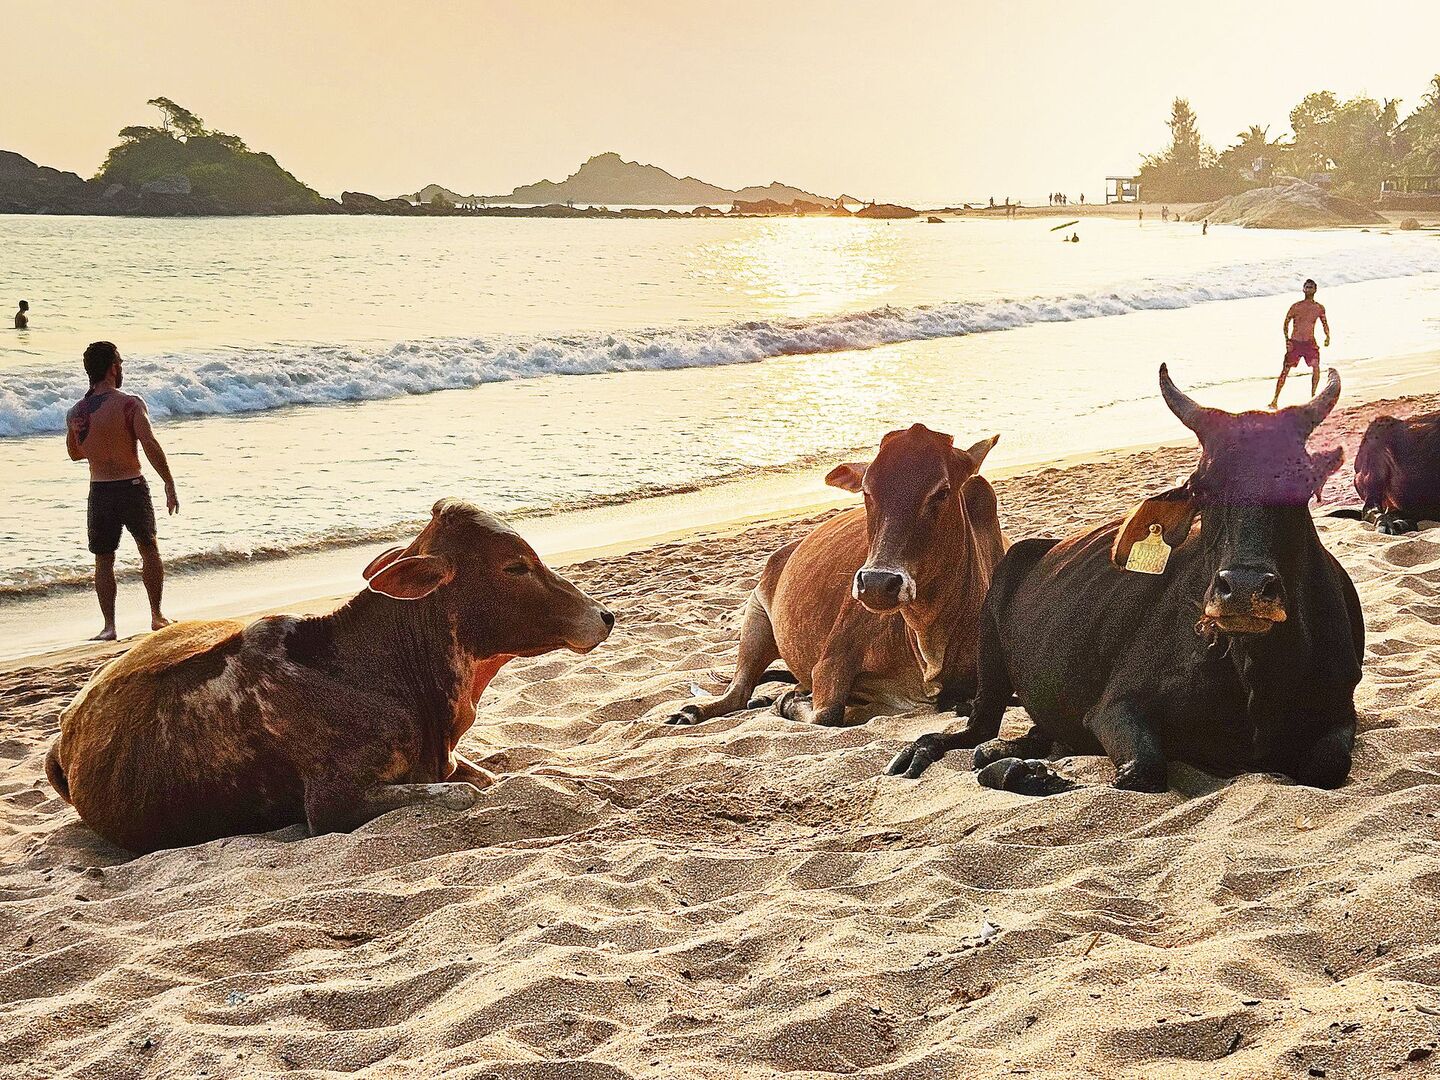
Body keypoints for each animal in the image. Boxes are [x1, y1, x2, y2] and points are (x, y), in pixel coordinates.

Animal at [44, 499, 615, 854]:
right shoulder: (332, 804)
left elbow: (489, 779)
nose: (605, 615)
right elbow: (461, 794)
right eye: (515, 566)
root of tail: (65, 731)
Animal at [668, 423, 1007, 728]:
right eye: (867, 492)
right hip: (756, 617)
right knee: (737, 693)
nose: (877, 584)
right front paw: (787, 702)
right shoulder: (830, 663)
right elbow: (827, 714)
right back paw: (696, 711)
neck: (929, 641)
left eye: (943, 491)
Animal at [886, 367, 1362, 796]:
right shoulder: (1114, 709)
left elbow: (1326, 766)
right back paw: (932, 752)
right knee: (977, 729)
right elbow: (1140, 771)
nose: (1243, 589)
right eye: (1201, 487)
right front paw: (1026, 775)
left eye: (1303, 482)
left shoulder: (1340, 713)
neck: (1252, 670)